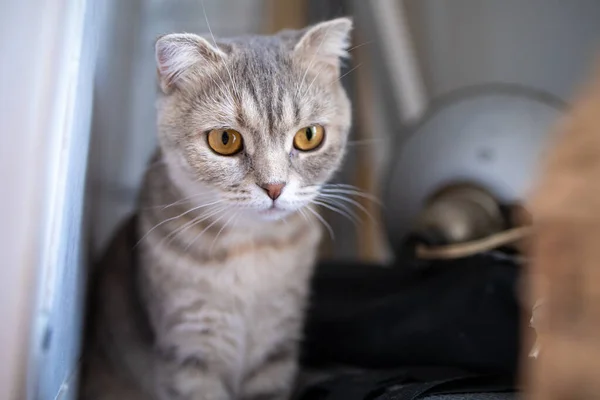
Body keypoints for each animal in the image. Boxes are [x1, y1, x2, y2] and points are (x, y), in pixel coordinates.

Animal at [78, 17, 354, 400]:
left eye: (309, 136)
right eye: (225, 140)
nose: (274, 187)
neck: (252, 249)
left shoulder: (277, 345)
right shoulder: (189, 349)